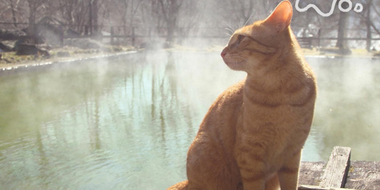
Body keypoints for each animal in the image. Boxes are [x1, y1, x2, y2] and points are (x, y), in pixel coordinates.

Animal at [168, 0, 316, 189]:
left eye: (240, 39)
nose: (222, 52)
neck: (280, 92)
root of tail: (189, 182)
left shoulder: (292, 155)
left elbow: (291, 184)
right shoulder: (250, 158)